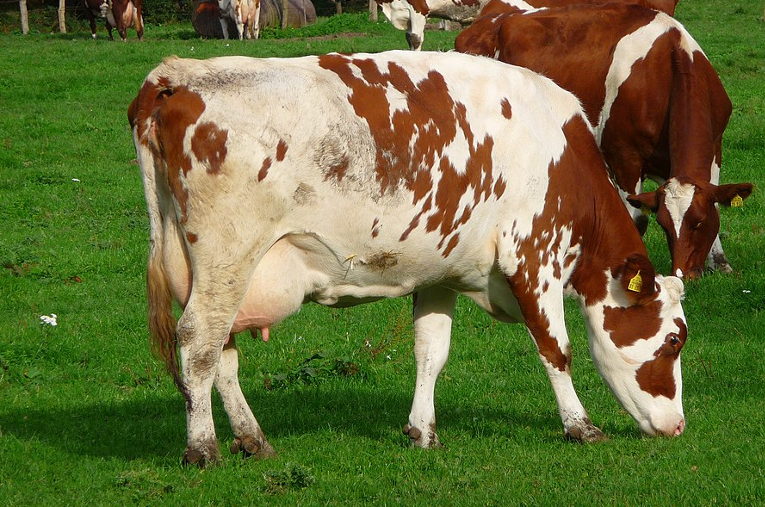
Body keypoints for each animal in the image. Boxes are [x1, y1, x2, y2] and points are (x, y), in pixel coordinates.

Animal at [129, 51, 688, 466]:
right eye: (674, 340)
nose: (678, 426)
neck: (560, 153)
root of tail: (178, 75)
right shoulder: (534, 256)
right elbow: (557, 350)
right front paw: (580, 426)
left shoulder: (439, 270)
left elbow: (430, 352)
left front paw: (421, 430)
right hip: (229, 254)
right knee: (199, 342)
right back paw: (203, 447)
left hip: (216, 270)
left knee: (221, 350)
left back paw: (253, 438)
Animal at [456, 5, 752, 279]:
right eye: (665, 224)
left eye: (699, 223)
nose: (684, 275)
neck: (668, 64)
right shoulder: (623, 155)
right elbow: (637, 219)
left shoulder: (715, 146)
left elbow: (717, 198)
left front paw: (721, 263)